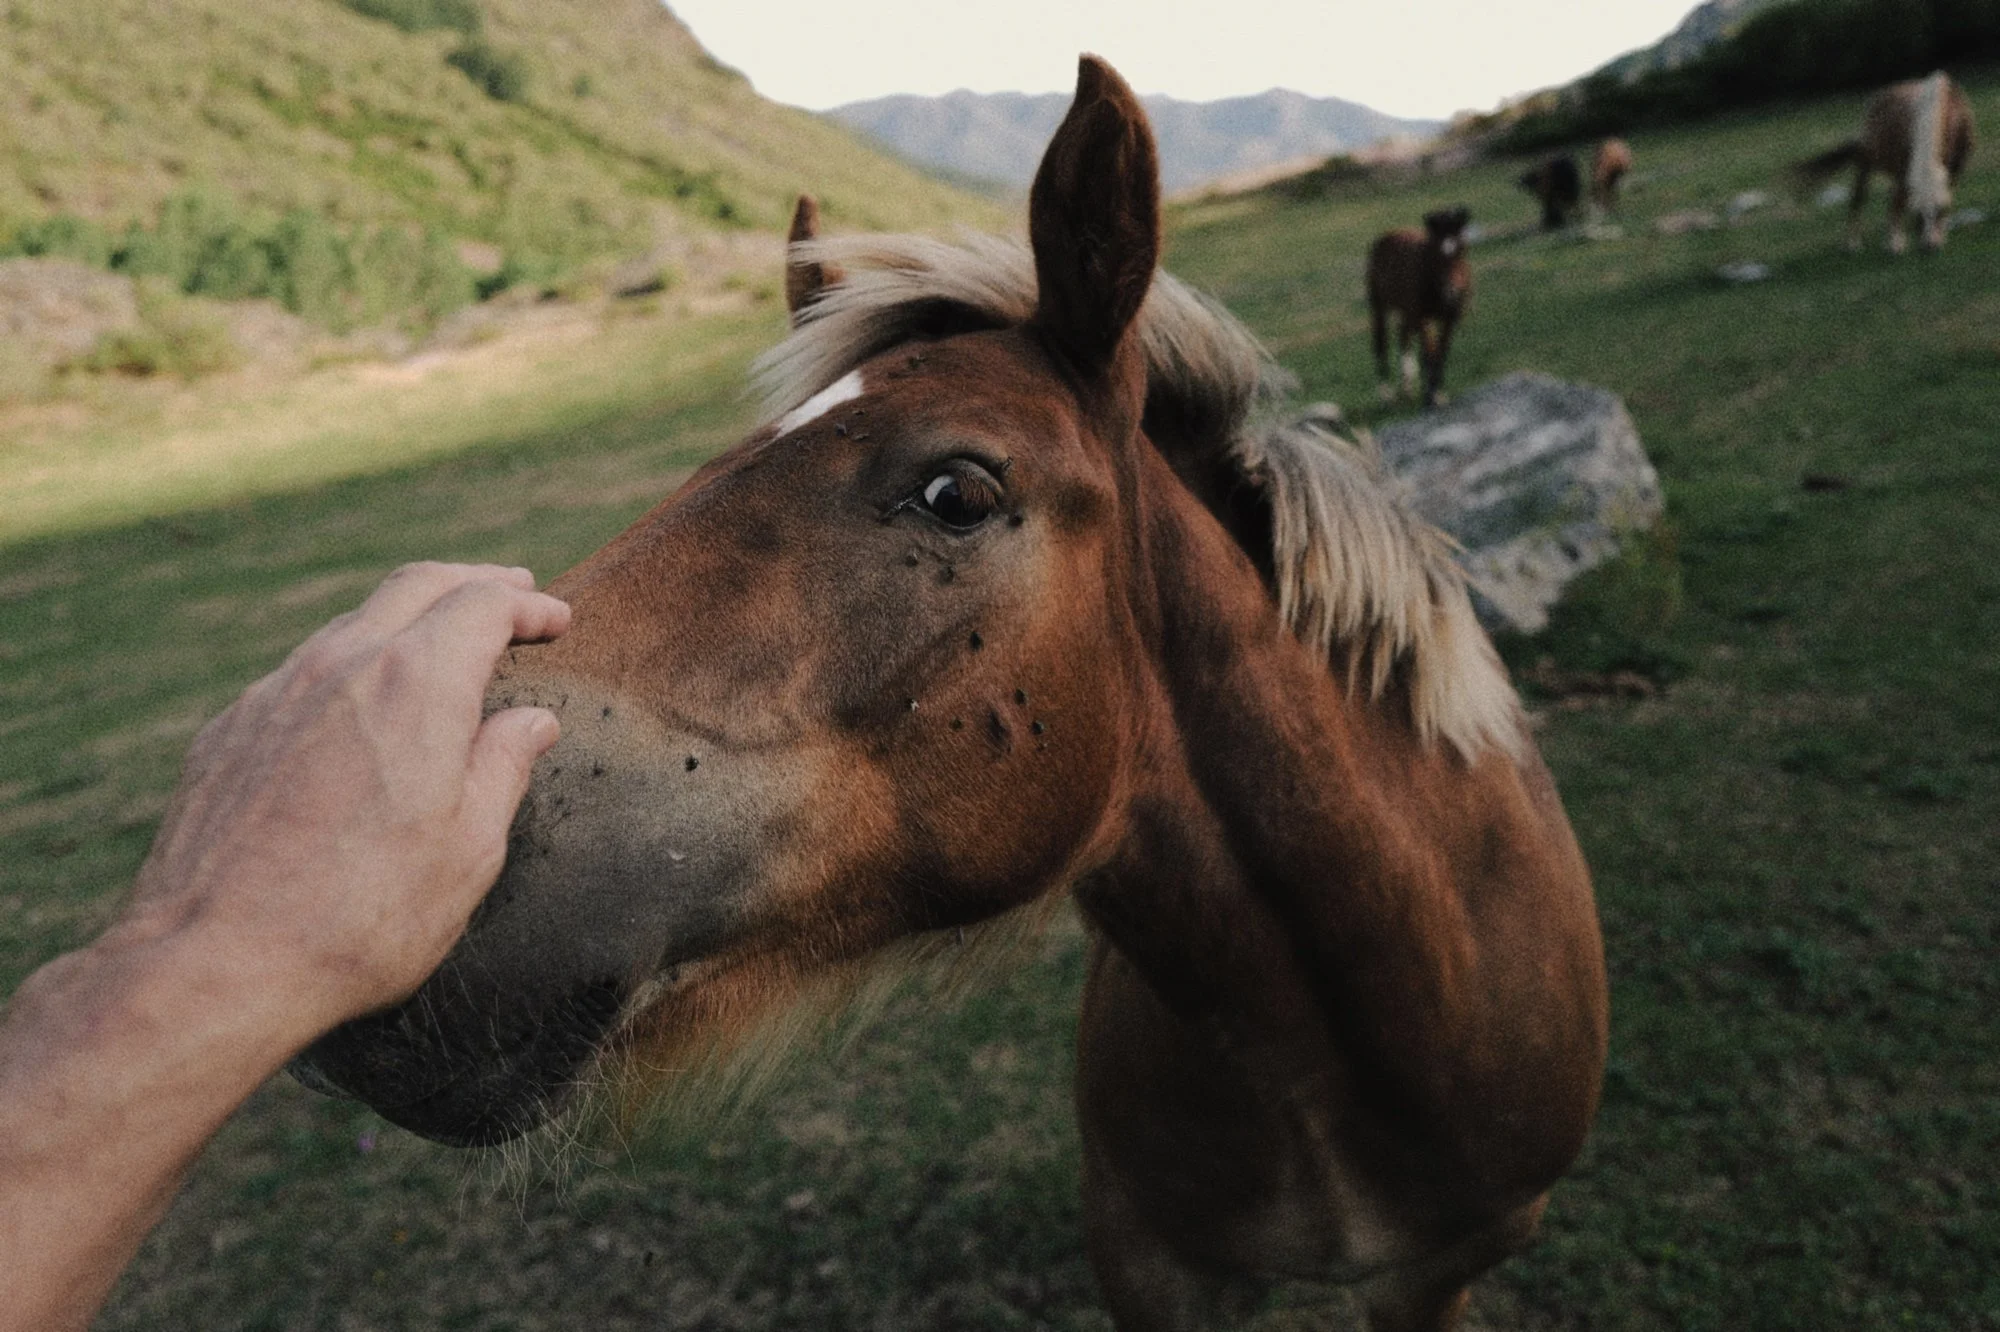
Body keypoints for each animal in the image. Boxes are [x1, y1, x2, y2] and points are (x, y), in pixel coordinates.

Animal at [1366, 207, 1472, 409]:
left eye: (1462, 249)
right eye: (1435, 253)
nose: (1452, 293)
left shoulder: (1449, 319)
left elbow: (1440, 353)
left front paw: (1436, 393)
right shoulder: (1423, 318)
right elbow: (1429, 353)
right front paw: (1432, 396)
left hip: (1407, 312)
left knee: (1403, 336)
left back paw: (1408, 389)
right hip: (1378, 306)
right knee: (1381, 342)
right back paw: (1387, 395)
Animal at [1794, 71, 1976, 253]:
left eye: (1941, 211)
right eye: (1918, 215)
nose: (1930, 246)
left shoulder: (1954, 167)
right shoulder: (1905, 168)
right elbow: (1896, 203)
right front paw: (1895, 244)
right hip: (1867, 160)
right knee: (1859, 196)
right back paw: (1854, 243)